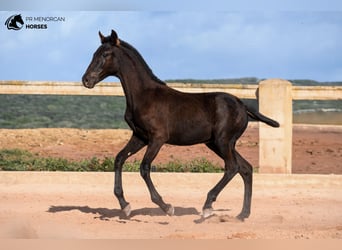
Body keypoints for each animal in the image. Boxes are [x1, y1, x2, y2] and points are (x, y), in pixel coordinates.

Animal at [81, 29, 280, 221]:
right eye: (94, 53)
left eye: (105, 54)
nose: (86, 80)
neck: (144, 96)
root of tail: (242, 105)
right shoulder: (140, 137)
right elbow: (119, 159)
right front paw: (125, 206)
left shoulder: (158, 138)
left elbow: (144, 168)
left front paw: (167, 207)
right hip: (219, 143)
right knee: (245, 168)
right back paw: (242, 214)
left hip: (223, 141)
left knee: (233, 167)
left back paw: (208, 207)